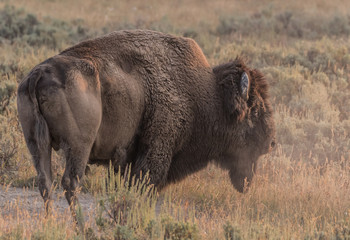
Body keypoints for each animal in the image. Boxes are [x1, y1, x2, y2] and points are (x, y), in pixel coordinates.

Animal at [17, 29, 276, 214]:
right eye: (255, 110)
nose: (271, 143)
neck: (205, 93)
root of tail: (39, 73)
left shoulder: (123, 162)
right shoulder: (155, 152)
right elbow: (144, 188)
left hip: (36, 144)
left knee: (45, 182)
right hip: (78, 145)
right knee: (70, 182)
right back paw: (82, 226)